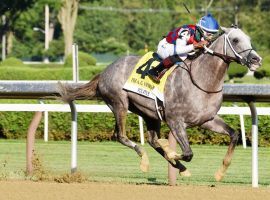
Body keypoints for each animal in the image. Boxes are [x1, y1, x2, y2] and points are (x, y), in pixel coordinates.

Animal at [59, 26, 262, 181]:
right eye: (235, 40)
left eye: (249, 39)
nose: (256, 59)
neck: (202, 81)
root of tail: (105, 70)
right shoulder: (175, 120)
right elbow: (188, 153)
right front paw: (172, 153)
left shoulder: (207, 119)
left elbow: (234, 135)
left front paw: (220, 173)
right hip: (119, 103)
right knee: (121, 136)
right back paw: (146, 160)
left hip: (148, 112)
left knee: (152, 140)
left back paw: (177, 164)